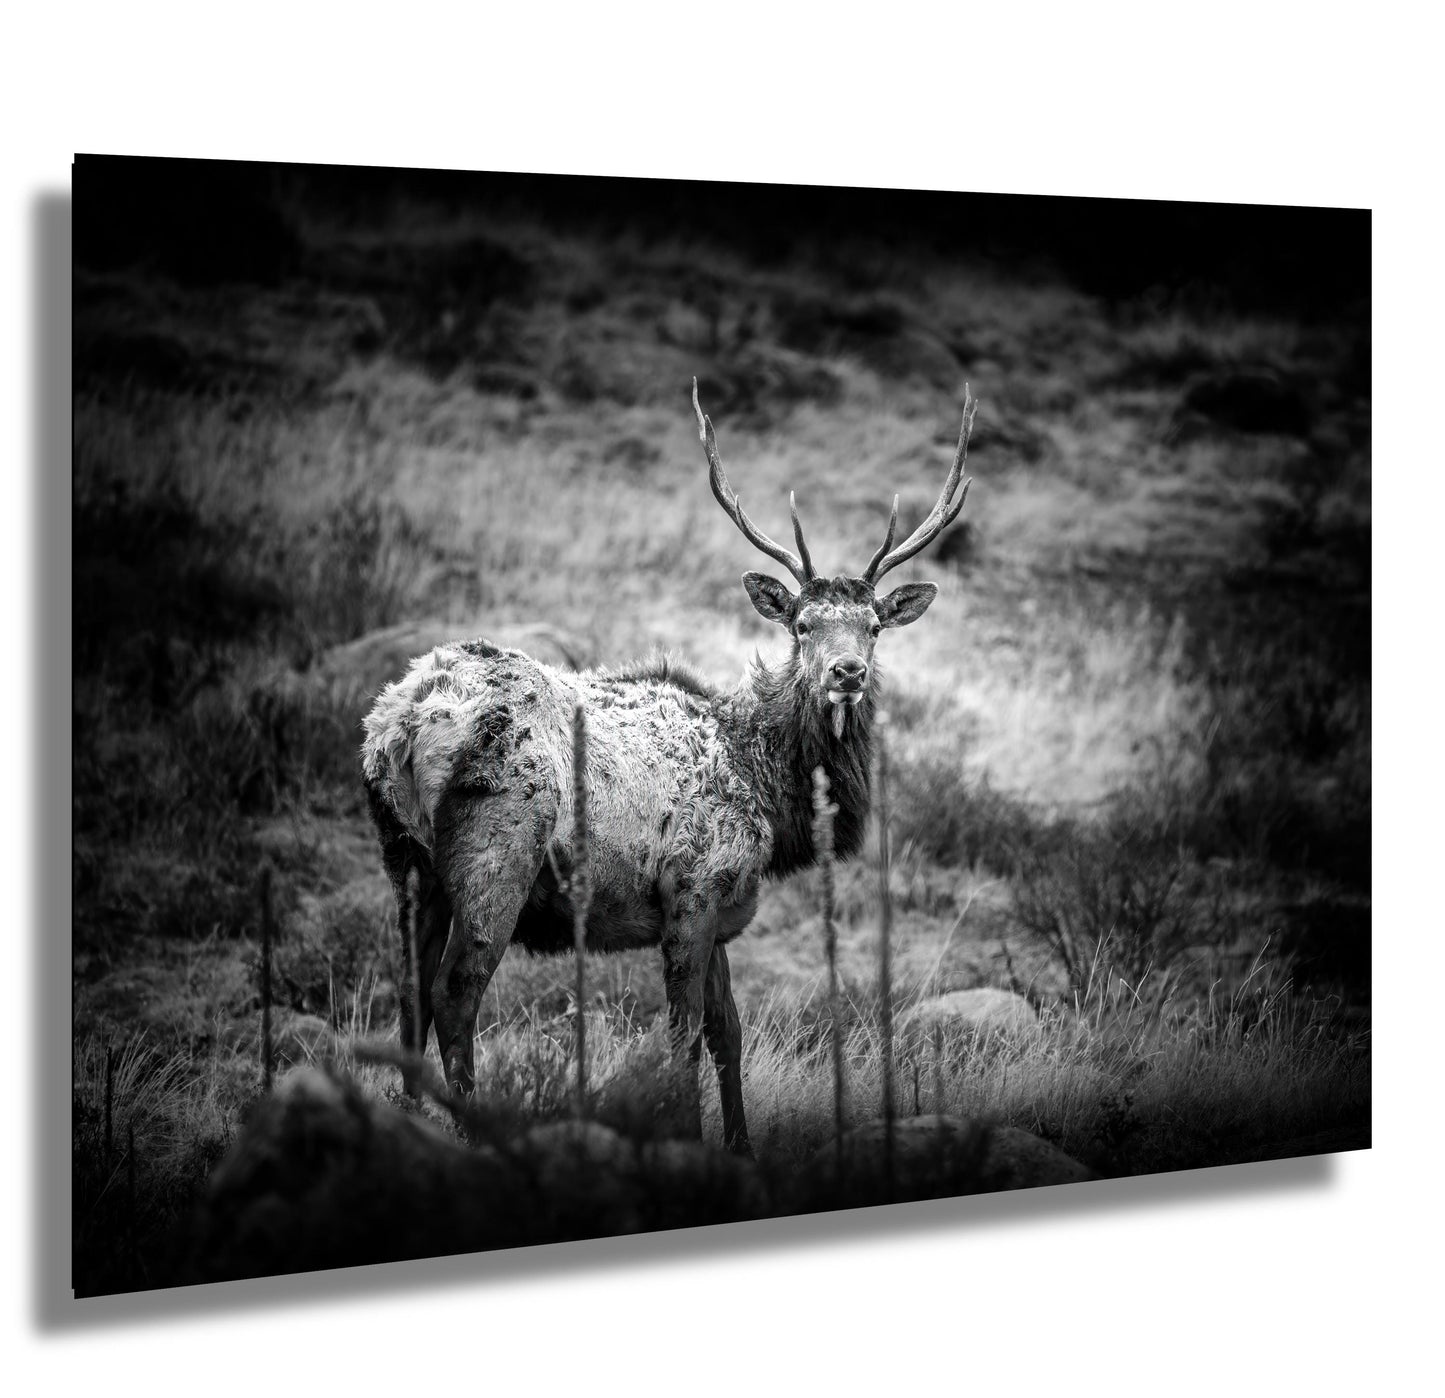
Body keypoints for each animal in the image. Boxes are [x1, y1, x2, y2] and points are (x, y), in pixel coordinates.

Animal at [361, 379, 976, 1156]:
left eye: (872, 627)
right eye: (802, 625)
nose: (848, 672)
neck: (766, 789)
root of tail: (407, 718)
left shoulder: (719, 907)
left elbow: (727, 1032)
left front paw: (741, 1143)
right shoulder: (693, 884)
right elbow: (683, 1036)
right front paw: (689, 1137)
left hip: (404, 857)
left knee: (409, 989)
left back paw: (409, 1120)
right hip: (498, 846)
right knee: (455, 991)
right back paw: (473, 1128)